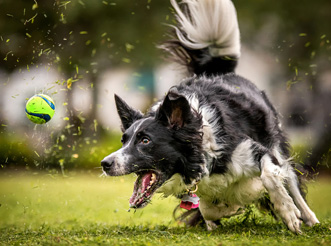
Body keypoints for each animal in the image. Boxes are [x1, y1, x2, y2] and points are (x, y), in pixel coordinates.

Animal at [101, 0, 320, 233]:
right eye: (123, 140)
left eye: (145, 140)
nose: (105, 163)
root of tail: (219, 72)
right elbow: (208, 208)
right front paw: (226, 209)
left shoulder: (256, 151)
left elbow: (269, 177)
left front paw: (287, 211)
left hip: (277, 145)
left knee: (292, 182)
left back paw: (309, 218)